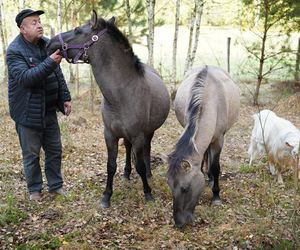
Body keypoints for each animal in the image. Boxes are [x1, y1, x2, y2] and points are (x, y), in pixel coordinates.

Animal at [46, 10, 169, 208]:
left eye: (78, 29)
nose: (49, 43)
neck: (122, 95)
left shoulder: (138, 135)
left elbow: (140, 165)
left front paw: (148, 193)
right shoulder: (110, 135)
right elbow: (110, 166)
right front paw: (106, 197)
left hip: (148, 132)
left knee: (147, 149)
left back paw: (149, 174)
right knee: (127, 147)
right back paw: (126, 173)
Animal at [165, 65, 240, 228]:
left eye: (185, 188)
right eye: (169, 186)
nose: (179, 223)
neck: (209, 99)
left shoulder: (218, 140)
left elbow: (215, 167)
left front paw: (216, 196)